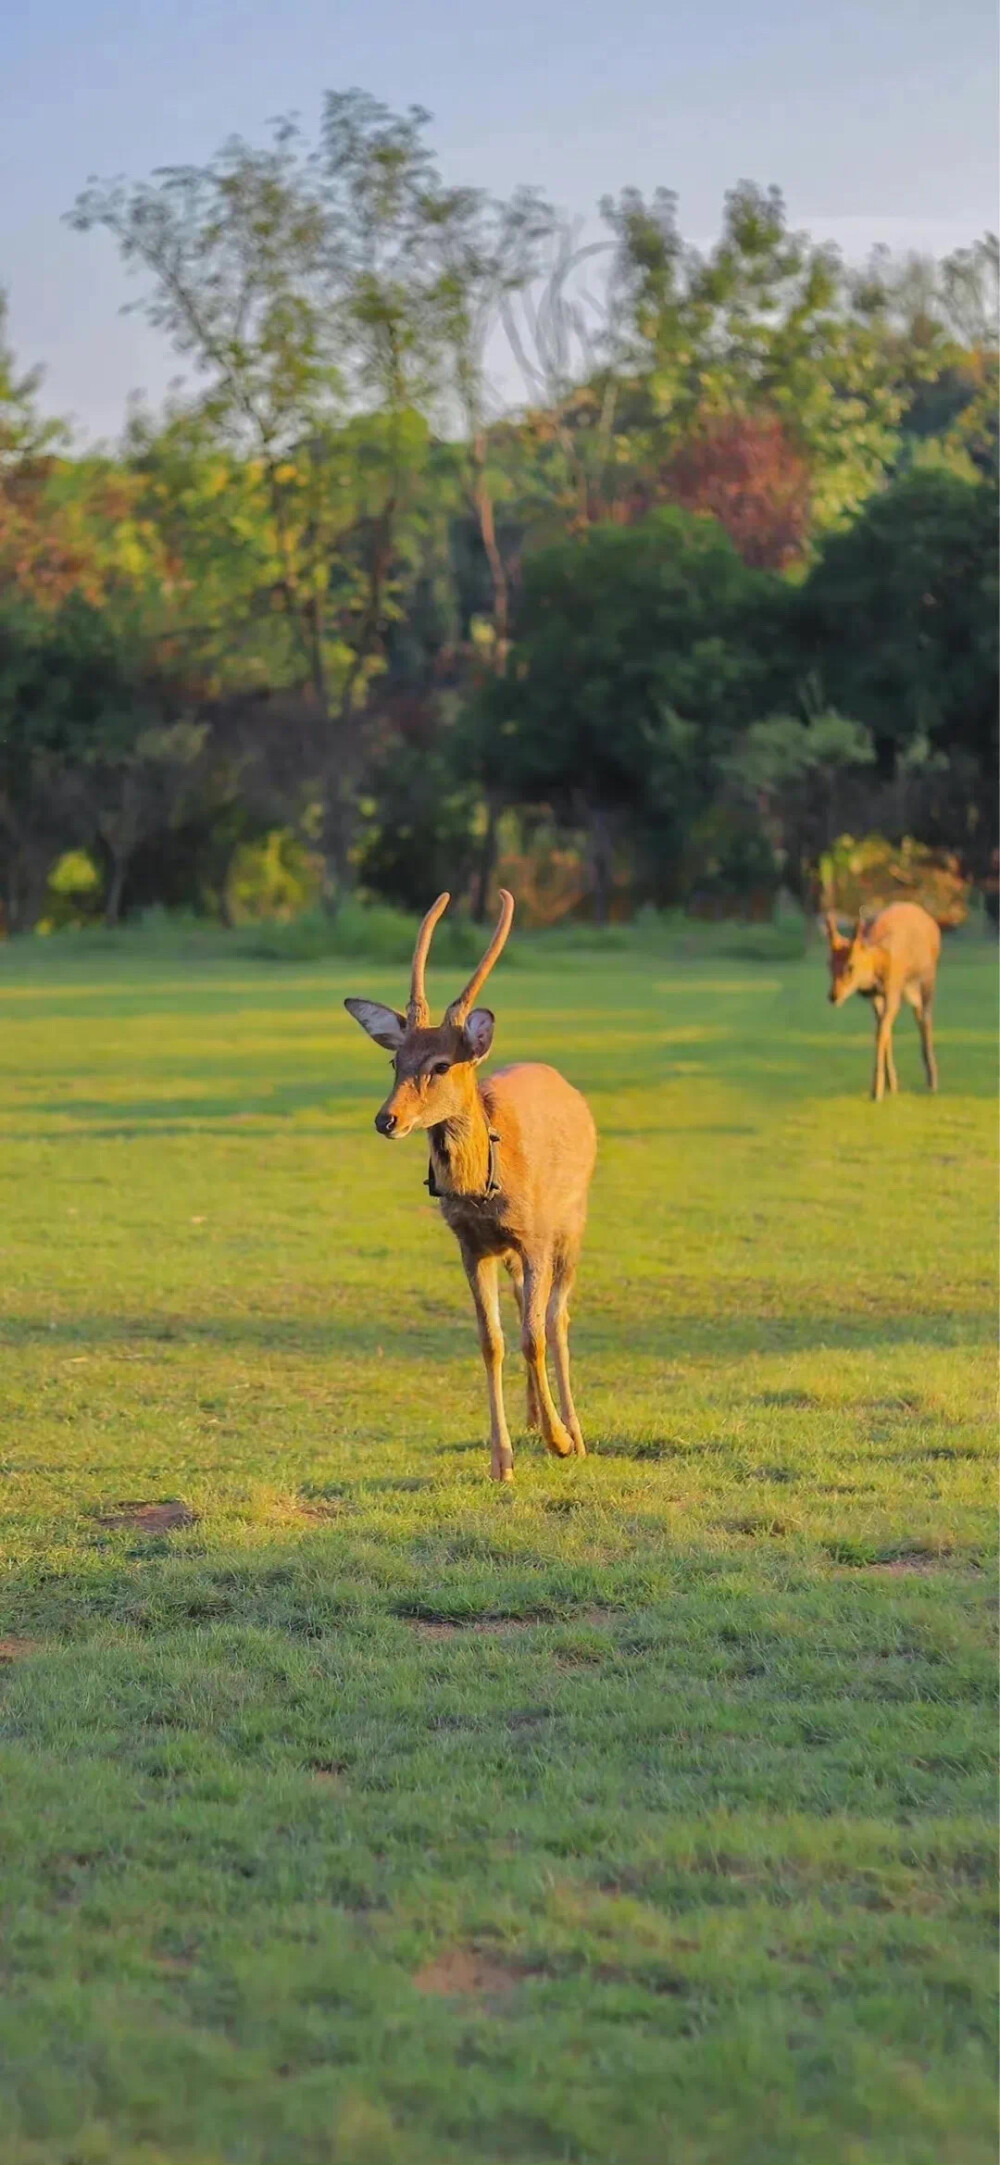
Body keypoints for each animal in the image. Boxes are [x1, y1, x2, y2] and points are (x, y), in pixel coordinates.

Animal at [346, 887, 593, 1480]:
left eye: (440, 1065)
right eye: (394, 1060)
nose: (386, 1119)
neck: (486, 1186)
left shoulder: (535, 1237)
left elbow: (532, 1336)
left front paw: (559, 1441)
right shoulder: (470, 1245)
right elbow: (492, 1341)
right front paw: (502, 1460)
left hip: (572, 1223)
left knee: (558, 1317)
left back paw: (574, 1430)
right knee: (530, 1308)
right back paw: (535, 1417)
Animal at [822, 896, 939, 1099]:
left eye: (851, 965)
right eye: (829, 963)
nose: (833, 996)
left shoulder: (893, 989)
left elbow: (881, 1033)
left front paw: (876, 1092)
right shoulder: (876, 997)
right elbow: (883, 1031)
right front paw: (890, 1085)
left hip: (928, 977)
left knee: (925, 1017)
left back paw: (932, 1081)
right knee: (917, 1014)